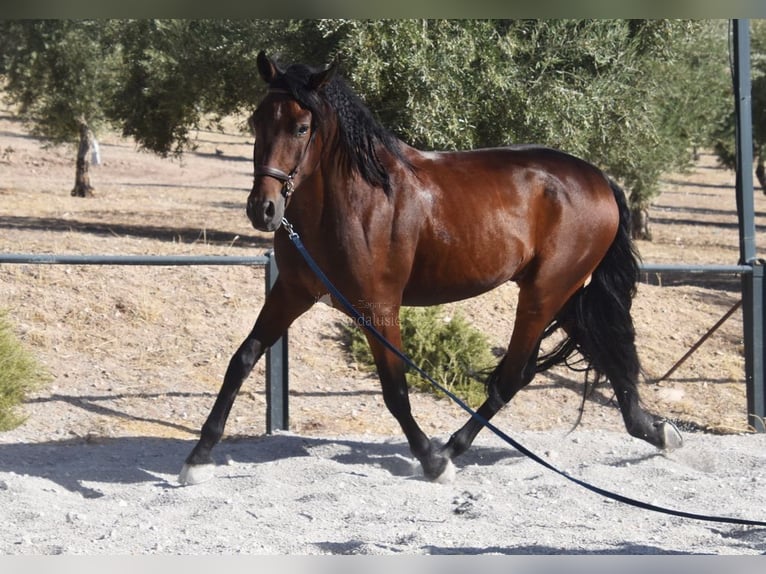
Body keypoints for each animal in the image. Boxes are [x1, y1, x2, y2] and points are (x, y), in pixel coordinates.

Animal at [179, 52, 683, 485]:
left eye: (302, 127)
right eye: (257, 120)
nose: (262, 209)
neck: (354, 201)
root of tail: (598, 178)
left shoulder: (378, 307)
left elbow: (395, 389)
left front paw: (430, 460)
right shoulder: (292, 291)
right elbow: (242, 359)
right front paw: (197, 459)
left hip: (544, 292)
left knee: (514, 376)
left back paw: (451, 449)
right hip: (568, 293)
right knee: (606, 356)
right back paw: (656, 431)